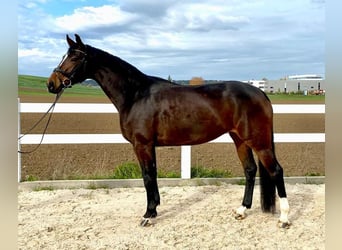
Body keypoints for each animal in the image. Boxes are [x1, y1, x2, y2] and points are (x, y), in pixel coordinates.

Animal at [46, 34, 290, 229]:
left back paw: (284, 219)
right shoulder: (147, 146)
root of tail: (260, 93)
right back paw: (241, 210)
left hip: (258, 141)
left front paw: (148, 215)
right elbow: (151, 175)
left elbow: (147, 176)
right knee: (250, 170)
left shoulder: (143, 145)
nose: (51, 83)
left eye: (75, 57)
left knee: (276, 171)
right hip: (239, 139)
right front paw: (153, 210)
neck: (136, 94)